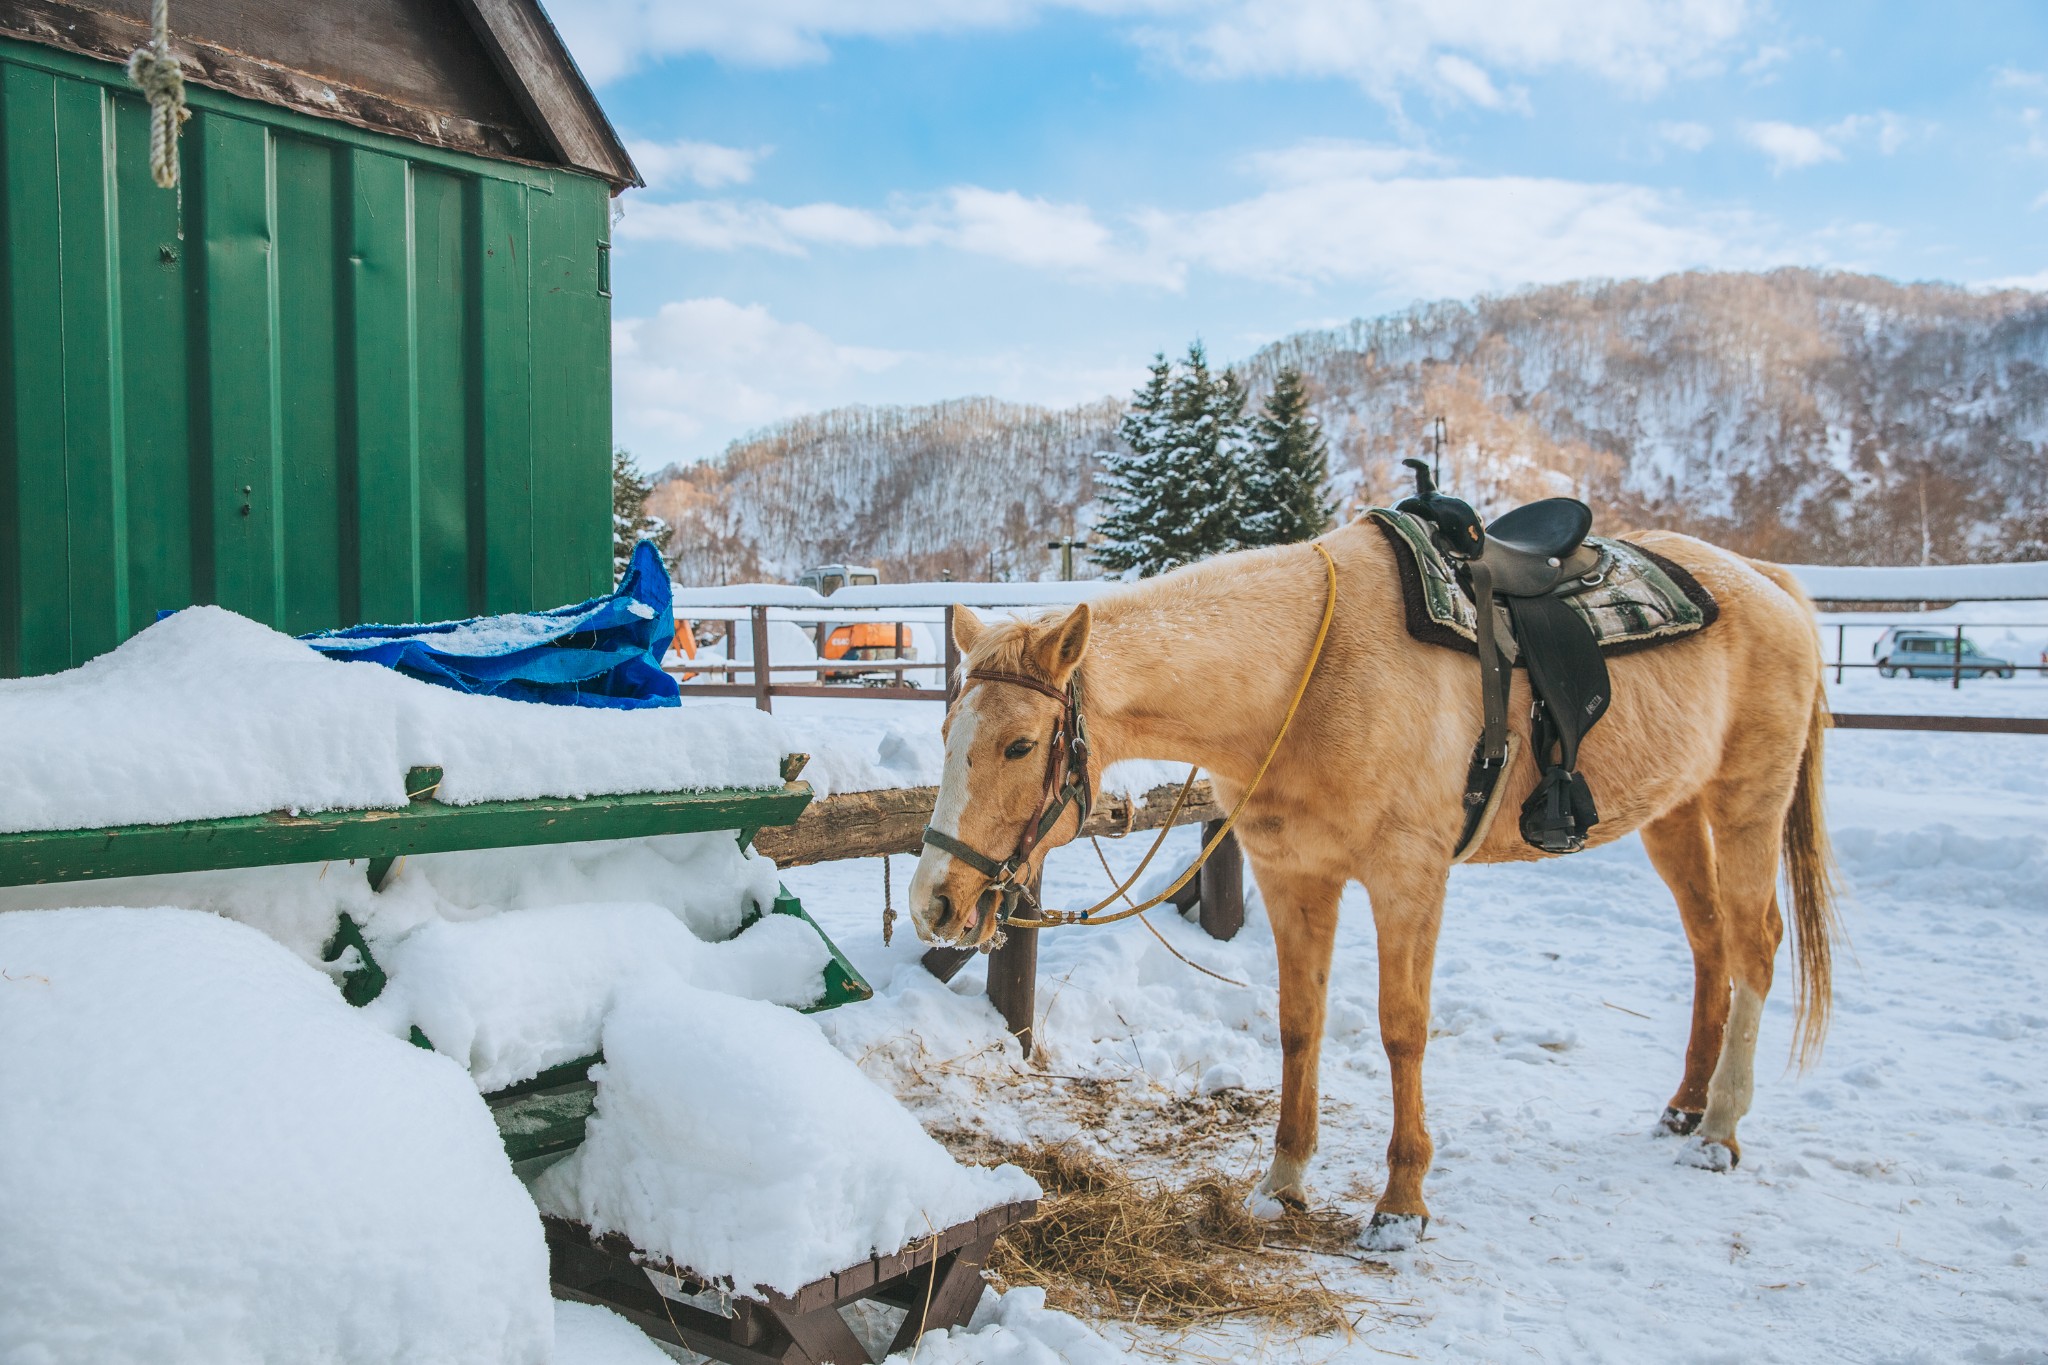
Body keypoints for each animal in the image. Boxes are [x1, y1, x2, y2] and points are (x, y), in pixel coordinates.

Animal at [913, 519, 1843, 1252]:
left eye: (1019, 745)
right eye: (949, 726)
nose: (935, 901)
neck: (1311, 677)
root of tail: (1768, 583)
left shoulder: (1406, 877)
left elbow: (1403, 1031)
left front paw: (1400, 1204)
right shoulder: (1294, 876)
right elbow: (1298, 1023)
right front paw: (1282, 1181)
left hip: (1748, 802)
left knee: (1755, 946)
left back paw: (1718, 1129)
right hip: (1674, 814)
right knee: (1710, 944)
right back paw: (1685, 1104)